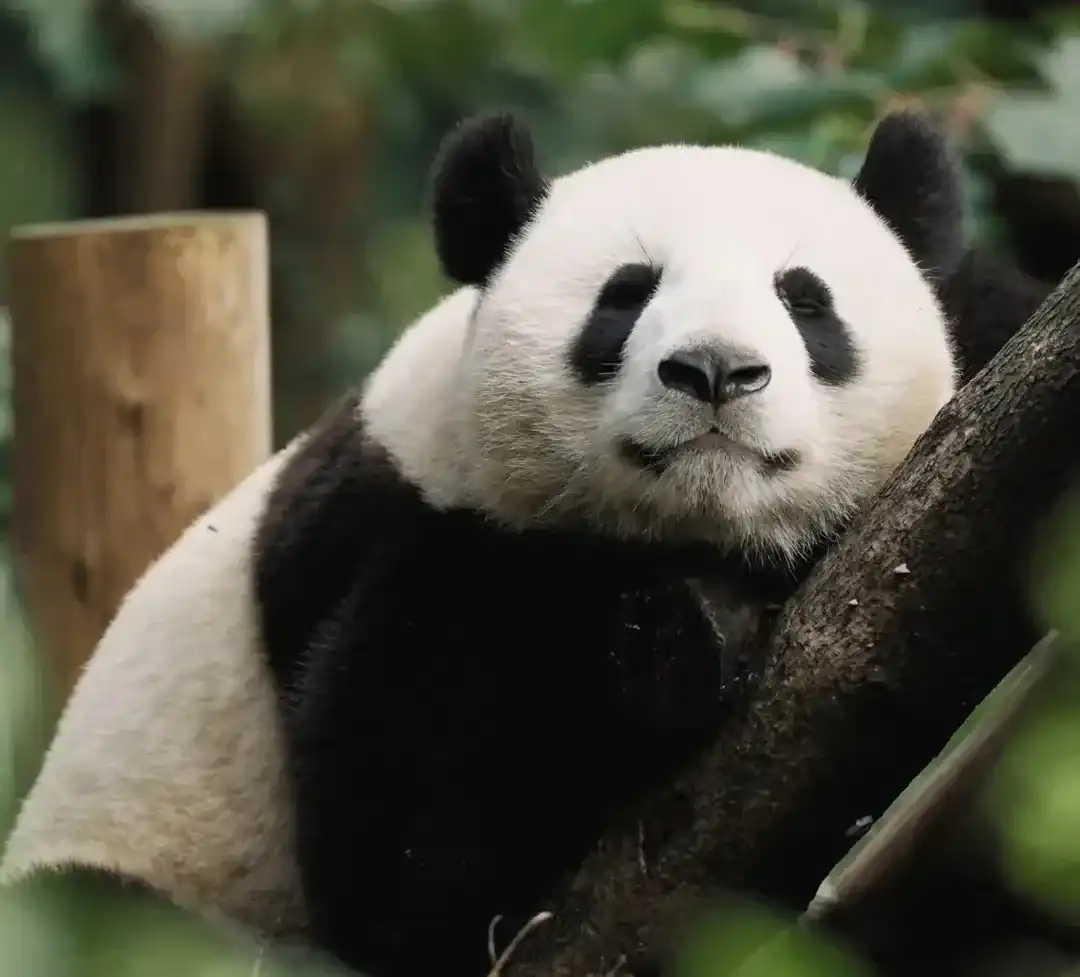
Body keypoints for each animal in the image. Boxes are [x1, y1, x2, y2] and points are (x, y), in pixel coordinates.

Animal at [0, 108, 1054, 972]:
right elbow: (414, 866)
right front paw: (673, 646)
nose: (715, 370)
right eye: (625, 295)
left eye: (804, 298)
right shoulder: (433, 543)